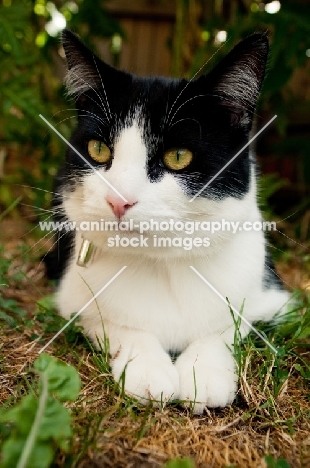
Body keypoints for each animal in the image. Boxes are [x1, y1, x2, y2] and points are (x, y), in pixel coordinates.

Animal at [44, 30, 290, 414]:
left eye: (178, 156)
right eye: (99, 150)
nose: (118, 200)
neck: (162, 265)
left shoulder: (271, 300)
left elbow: (230, 323)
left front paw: (203, 374)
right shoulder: (71, 297)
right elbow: (111, 320)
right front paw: (147, 369)